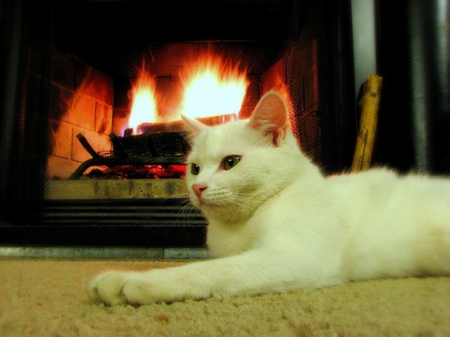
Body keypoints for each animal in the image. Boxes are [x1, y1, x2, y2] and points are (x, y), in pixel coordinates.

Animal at [88, 90, 450, 306]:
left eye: (230, 162)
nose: (198, 187)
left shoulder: (298, 256)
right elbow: (211, 265)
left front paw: (128, 280)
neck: (240, 225)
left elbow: (205, 271)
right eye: (194, 168)